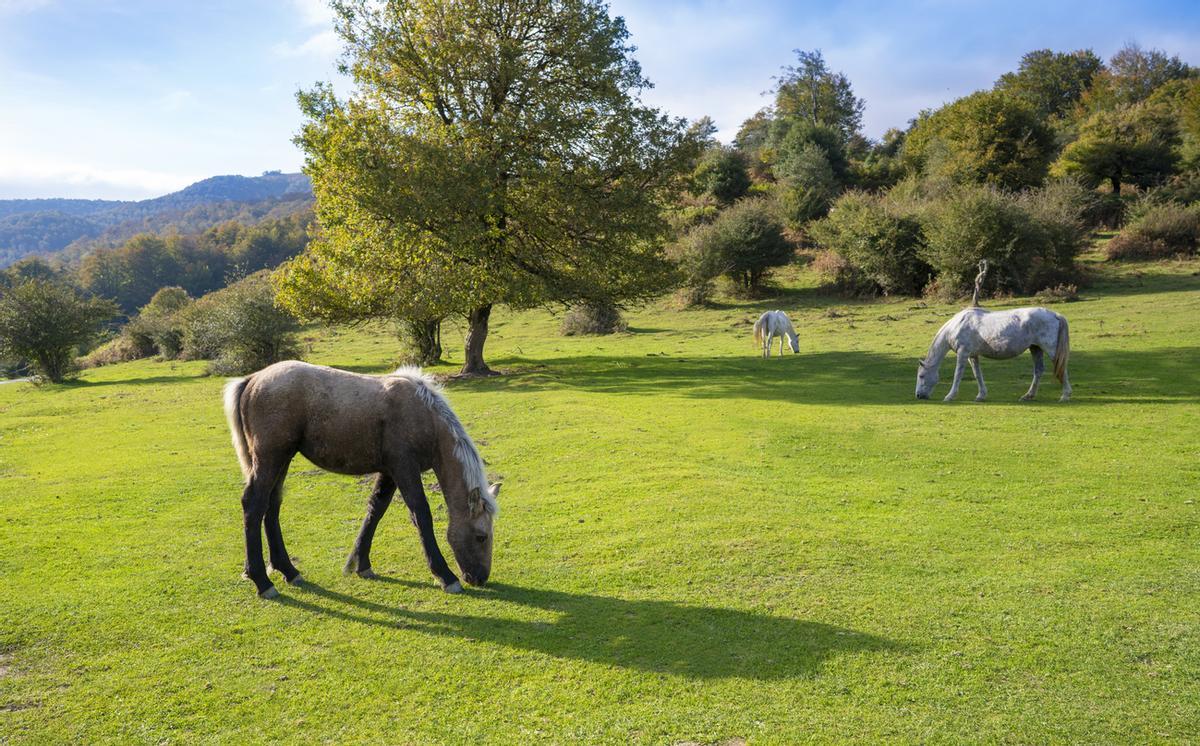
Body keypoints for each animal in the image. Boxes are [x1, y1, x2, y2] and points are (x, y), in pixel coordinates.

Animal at [223, 361, 500, 599]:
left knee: (271, 506)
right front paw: (445, 576)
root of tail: (253, 379)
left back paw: (287, 570)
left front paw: (360, 563)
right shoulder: (404, 468)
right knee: (253, 505)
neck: (424, 415)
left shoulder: (389, 472)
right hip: (270, 458)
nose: (480, 578)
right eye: (481, 536)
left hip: (282, 460)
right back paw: (261, 581)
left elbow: (375, 510)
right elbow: (421, 514)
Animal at [915, 306, 1072, 402]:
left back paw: (1065, 396)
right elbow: (977, 375)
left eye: (921, 376)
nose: (918, 395)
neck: (957, 325)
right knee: (1038, 371)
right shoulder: (972, 356)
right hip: (1035, 348)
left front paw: (950, 396)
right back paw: (1028, 396)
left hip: (1050, 350)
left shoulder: (963, 353)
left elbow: (957, 375)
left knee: (1061, 369)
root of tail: (1055, 315)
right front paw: (981, 395)